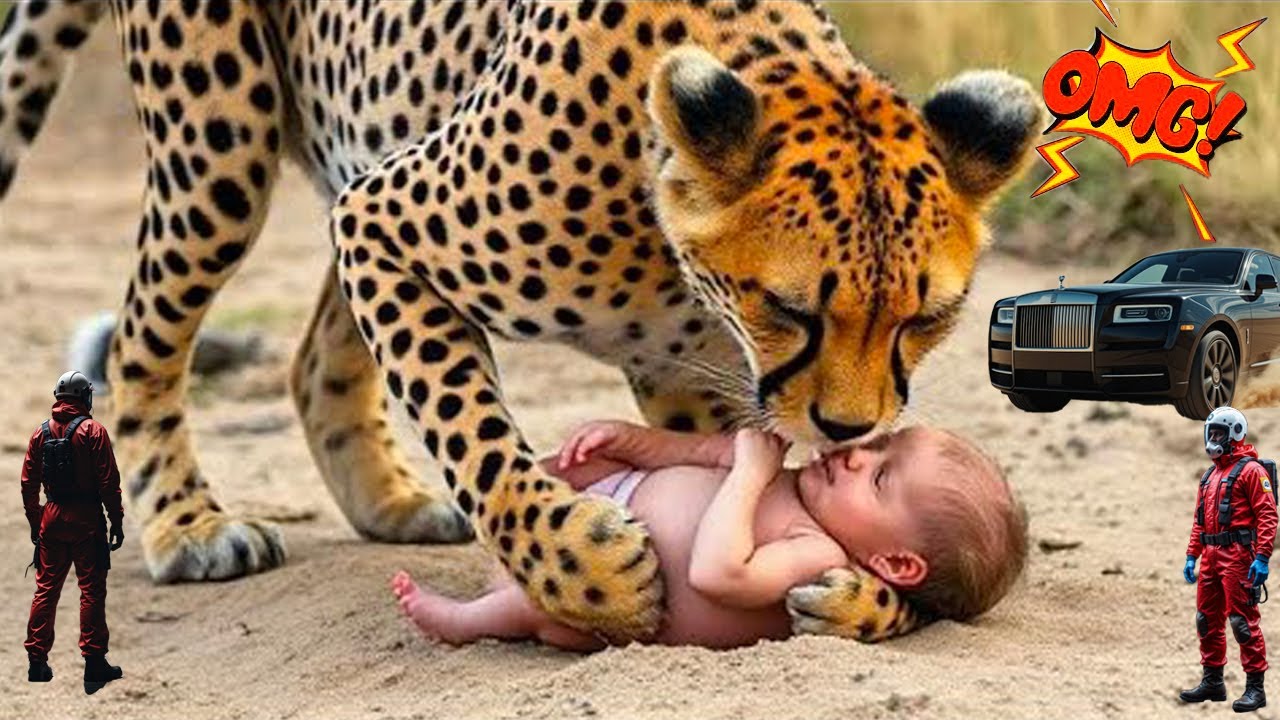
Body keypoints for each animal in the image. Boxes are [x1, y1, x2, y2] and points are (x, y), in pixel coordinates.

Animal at [0, 0, 1039, 642]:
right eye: (789, 308)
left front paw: (867, 599)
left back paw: (389, 501)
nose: (851, 431)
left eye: (928, 318)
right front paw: (592, 575)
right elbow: (476, 438)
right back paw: (190, 527)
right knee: (146, 332)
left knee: (311, 359)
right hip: (222, 139)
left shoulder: (692, 379)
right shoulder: (385, 222)